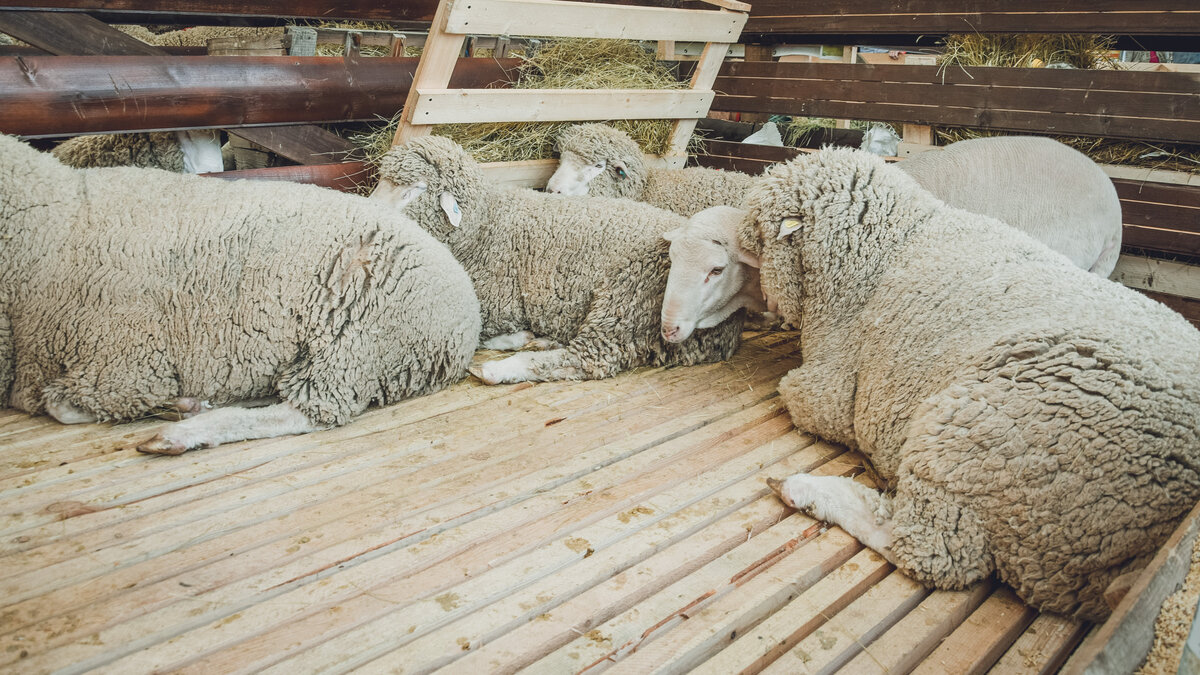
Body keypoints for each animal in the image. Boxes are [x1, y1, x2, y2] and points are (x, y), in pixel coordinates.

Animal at [1, 132, 477, 451]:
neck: (54, 221)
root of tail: (465, 302)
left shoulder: (124, 359)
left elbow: (62, 407)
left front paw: (165, 406)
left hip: (356, 340)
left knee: (306, 411)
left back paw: (183, 431)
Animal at [369, 135, 744, 384]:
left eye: (415, 189)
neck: (483, 226)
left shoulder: (485, 307)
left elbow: (476, 334)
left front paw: (515, 340)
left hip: (623, 304)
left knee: (585, 359)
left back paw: (498, 368)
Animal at [739, 144, 1200, 619]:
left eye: (756, 236)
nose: (760, 308)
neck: (892, 241)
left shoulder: (828, 390)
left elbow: (792, 393)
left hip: (969, 438)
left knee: (932, 551)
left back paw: (803, 489)